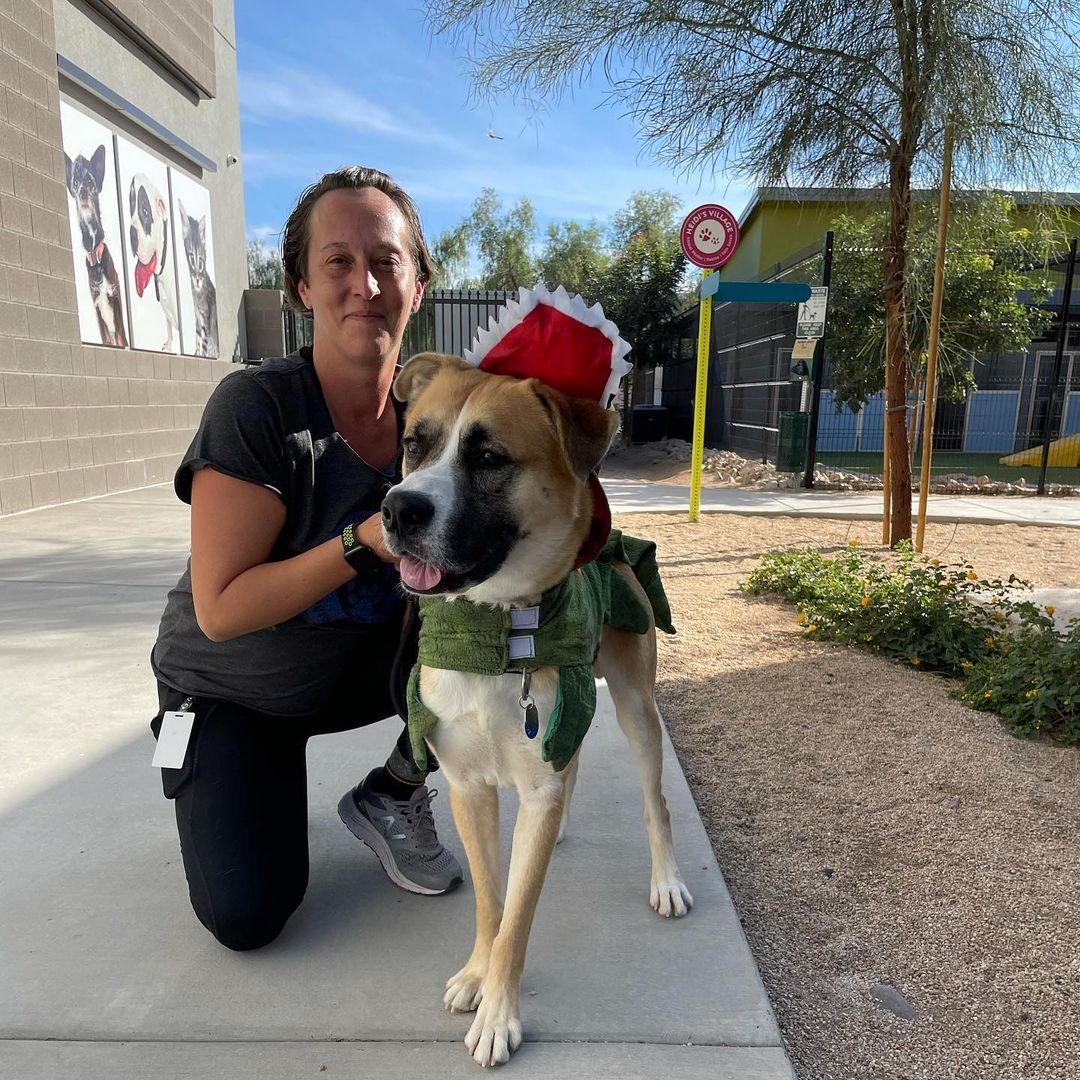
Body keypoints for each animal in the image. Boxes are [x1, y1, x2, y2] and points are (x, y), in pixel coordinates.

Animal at [384, 356, 695, 1071]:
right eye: (415, 443)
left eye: (488, 457)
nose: (398, 508)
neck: (497, 631)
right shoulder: (469, 787)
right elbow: (490, 901)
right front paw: (477, 975)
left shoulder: (538, 784)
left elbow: (518, 918)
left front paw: (499, 1015)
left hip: (637, 708)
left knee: (655, 802)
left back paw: (665, 878)